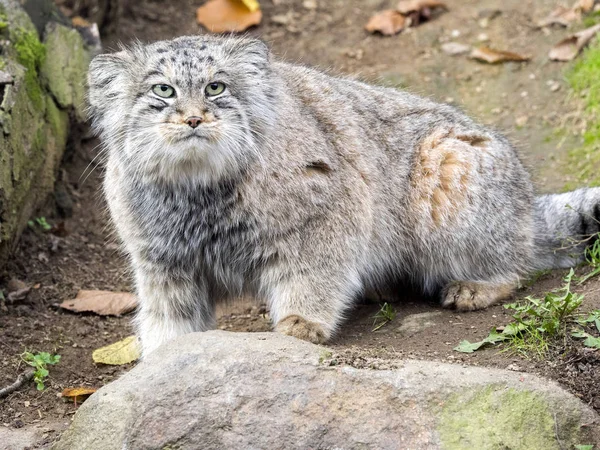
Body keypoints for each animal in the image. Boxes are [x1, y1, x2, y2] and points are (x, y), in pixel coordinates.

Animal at [88, 35, 600, 356]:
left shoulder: (329, 215)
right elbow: (168, 314)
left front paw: (302, 323)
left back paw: (477, 285)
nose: (194, 118)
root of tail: (527, 206)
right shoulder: (161, 261)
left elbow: (314, 274)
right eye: (163, 89)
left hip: (447, 165)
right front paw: (162, 354)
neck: (198, 191)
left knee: (517, 262)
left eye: (216, 87)